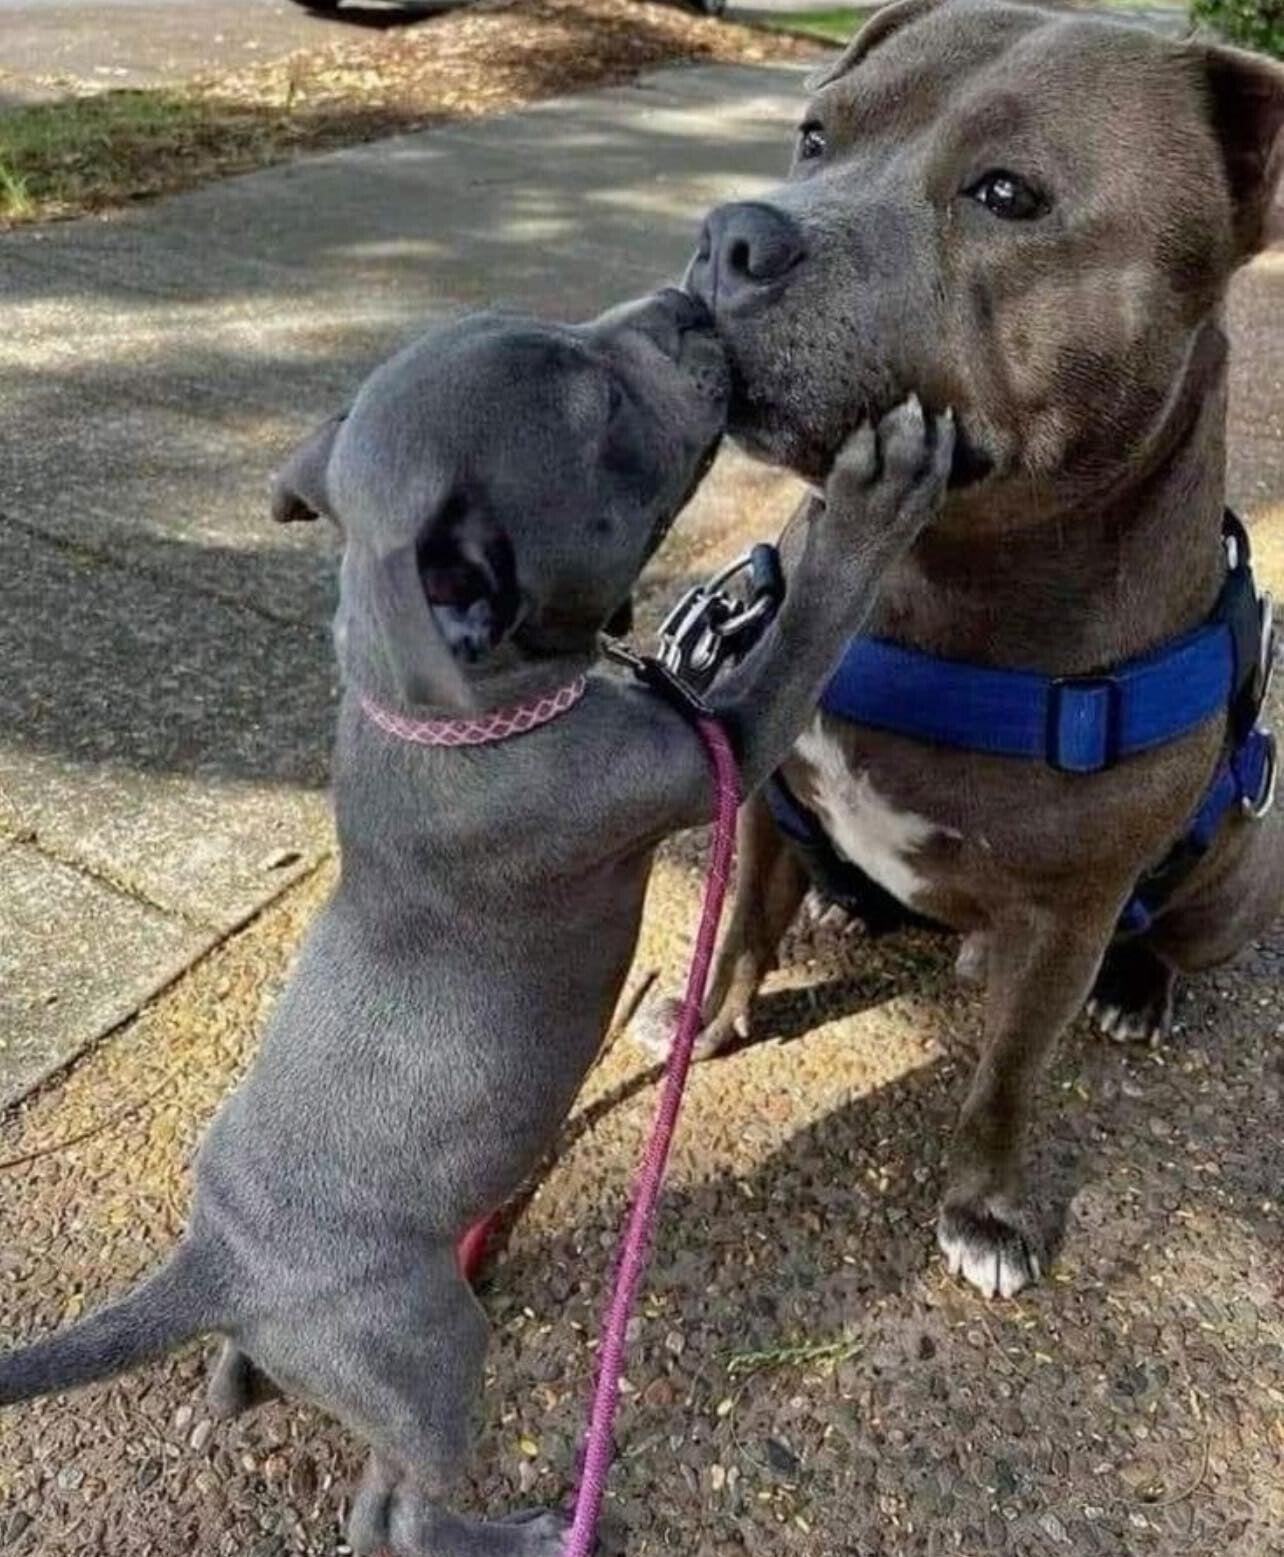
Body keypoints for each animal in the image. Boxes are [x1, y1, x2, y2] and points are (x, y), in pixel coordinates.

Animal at [0, 290, 953, 1554]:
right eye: (600, 406)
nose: (687, 299)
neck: (449, 708)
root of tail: (221, 1264)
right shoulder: (720, 750)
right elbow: (810, 630)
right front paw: (863, 501)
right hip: (430, 1344)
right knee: (391, 1516)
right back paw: (522, 1532)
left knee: (259, 1389)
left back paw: (244, 1381)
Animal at [636, 0, 1284, 1301]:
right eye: (816, 135)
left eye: (1006, 193)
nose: (734, 236)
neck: (935, 582)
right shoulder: (770, 798)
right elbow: (741, 930)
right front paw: (706, 1019)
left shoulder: (1073, 915)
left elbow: (1006, 1080)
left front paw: (985, 1210)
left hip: (1246, 870)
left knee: (1170, 935)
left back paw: (1138, 991)